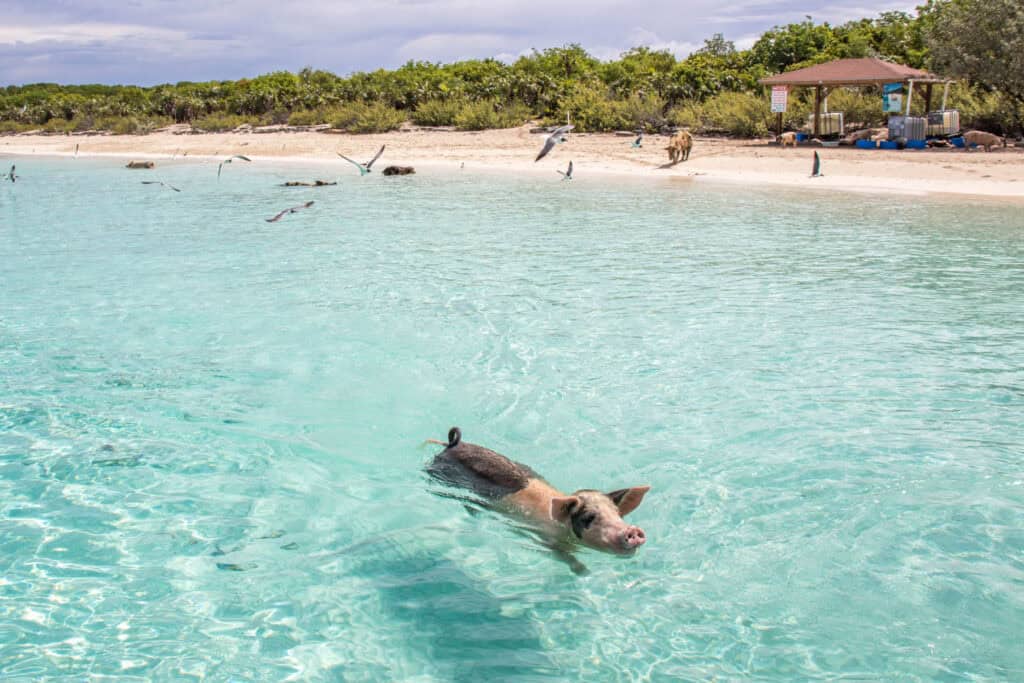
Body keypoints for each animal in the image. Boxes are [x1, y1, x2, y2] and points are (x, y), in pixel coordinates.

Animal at [426, 427, 650, 573]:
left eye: (617, 513)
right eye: (588, 518)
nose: (632, 530)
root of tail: (454, 444)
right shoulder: (543, 538)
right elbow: (563, 556)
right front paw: (584, 572)